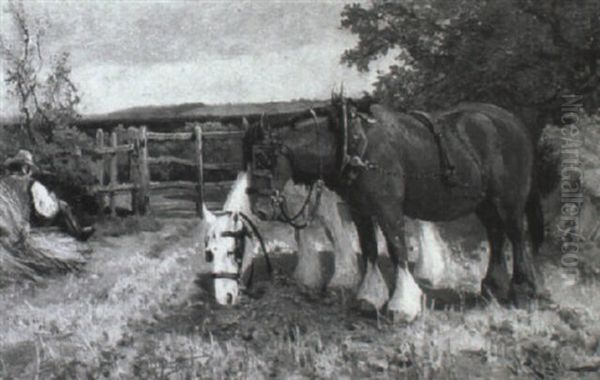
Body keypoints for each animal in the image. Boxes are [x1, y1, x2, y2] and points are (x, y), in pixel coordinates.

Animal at [244, 97, 548, 320]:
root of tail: (513, 122)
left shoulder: (387, 208)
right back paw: (493, 287)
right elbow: (369, 249)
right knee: (496, 234)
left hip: (509, 200)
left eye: (263, 158)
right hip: (484, 203)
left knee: (516, 236)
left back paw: (523, 290)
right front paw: (369, 297)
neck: (354, 144)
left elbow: (397, 248)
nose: (260, 209)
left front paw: (402, 304)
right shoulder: (360, 210)